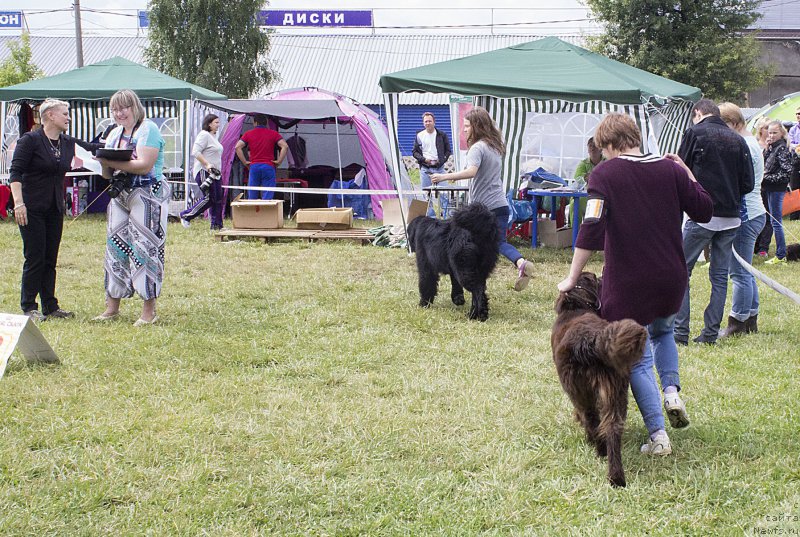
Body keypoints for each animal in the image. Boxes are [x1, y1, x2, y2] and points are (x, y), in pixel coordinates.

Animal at [552, 272, 648, 486]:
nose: (601, 276)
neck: (575, 308)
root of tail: (591, 339)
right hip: (616, 391)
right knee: (612, 426)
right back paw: (616, 475)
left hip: (580, 391)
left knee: (592, 419)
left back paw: (598, 448)